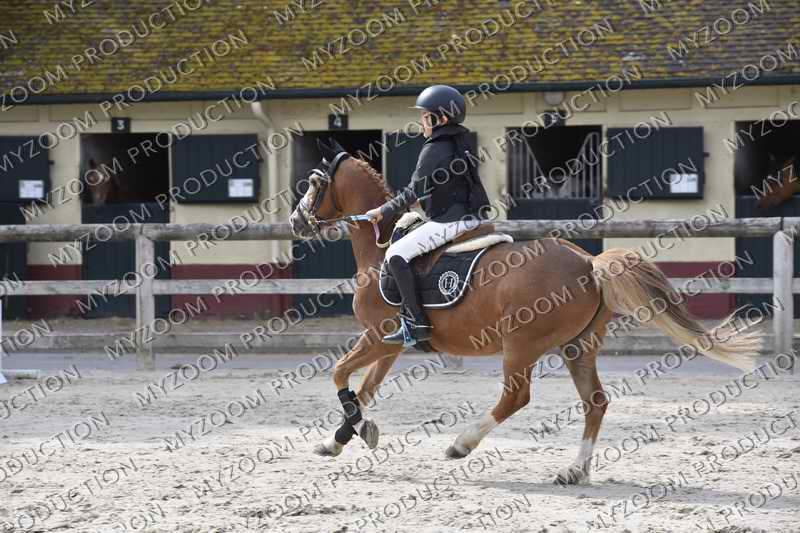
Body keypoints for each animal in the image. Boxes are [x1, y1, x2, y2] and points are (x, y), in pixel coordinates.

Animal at [289, 138, 762, 484]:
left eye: (313, 182)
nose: (296, 221)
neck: (380, 247)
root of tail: (588, 263)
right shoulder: (389, 345)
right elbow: (364, 389)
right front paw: (338, 440)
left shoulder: (377, 337)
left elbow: (339, 374)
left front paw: (355, 432)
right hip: (578, 347)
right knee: (595, 401)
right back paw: (574, 470)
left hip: (520, 345)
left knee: (516, 396)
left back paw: (462, 444)